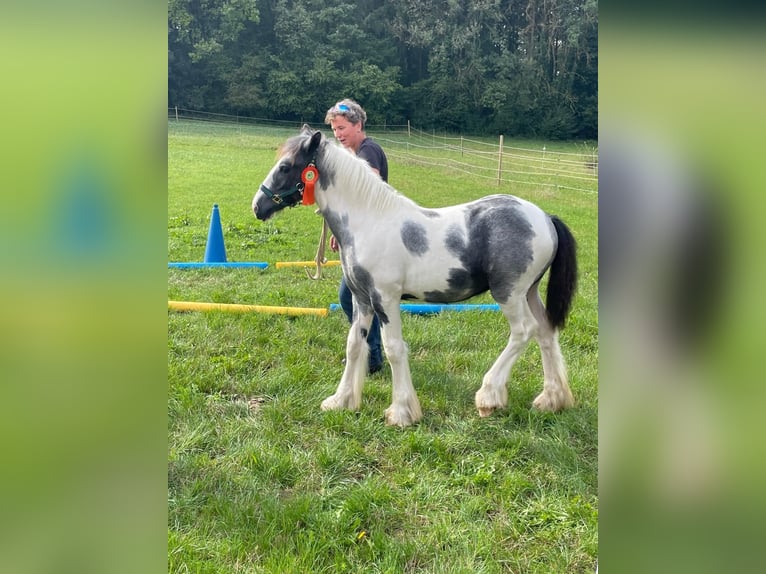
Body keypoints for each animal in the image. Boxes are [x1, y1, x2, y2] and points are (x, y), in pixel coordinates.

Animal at [255, 126, 580, 428]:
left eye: (285, 166)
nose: (258, 206)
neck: (369, 222)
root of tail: (545, 218)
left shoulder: (386, 299)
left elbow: (394, 349)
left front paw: (401, 412)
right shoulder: (362, 299)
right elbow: (355, 344)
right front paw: (341, 401)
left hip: (508, 293)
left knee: (524, 331)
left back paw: (489, 397)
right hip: (529, 292)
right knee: (546, 331)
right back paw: (551, 400)